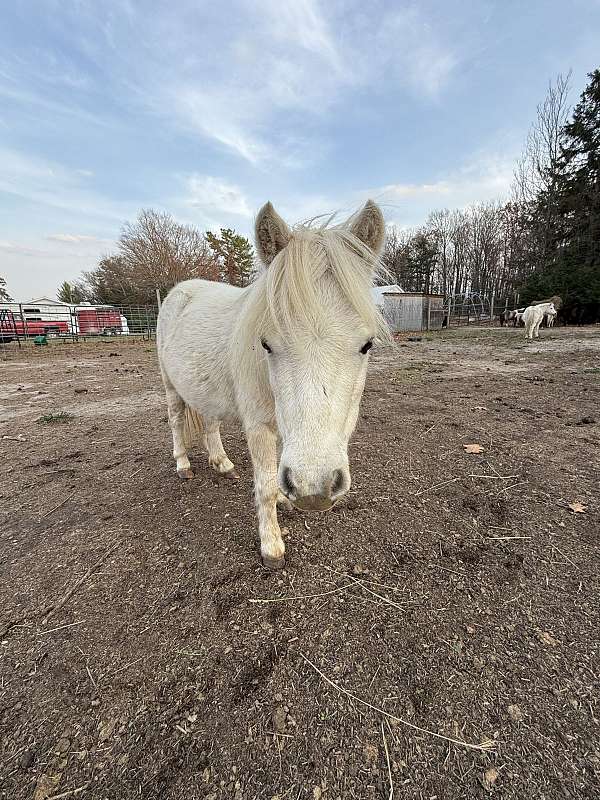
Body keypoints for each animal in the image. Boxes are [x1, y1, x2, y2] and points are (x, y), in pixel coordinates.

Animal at [157, 203, 386, 572]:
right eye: (266, 344)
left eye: (367, 345)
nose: (314, 490)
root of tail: (181, 290)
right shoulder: (259, 425)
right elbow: (264, 484)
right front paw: (271, 546)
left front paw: (284, 497)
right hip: (171, 386)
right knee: (177, 420)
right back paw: (183, 466)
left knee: (209, 424)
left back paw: (222, 463)